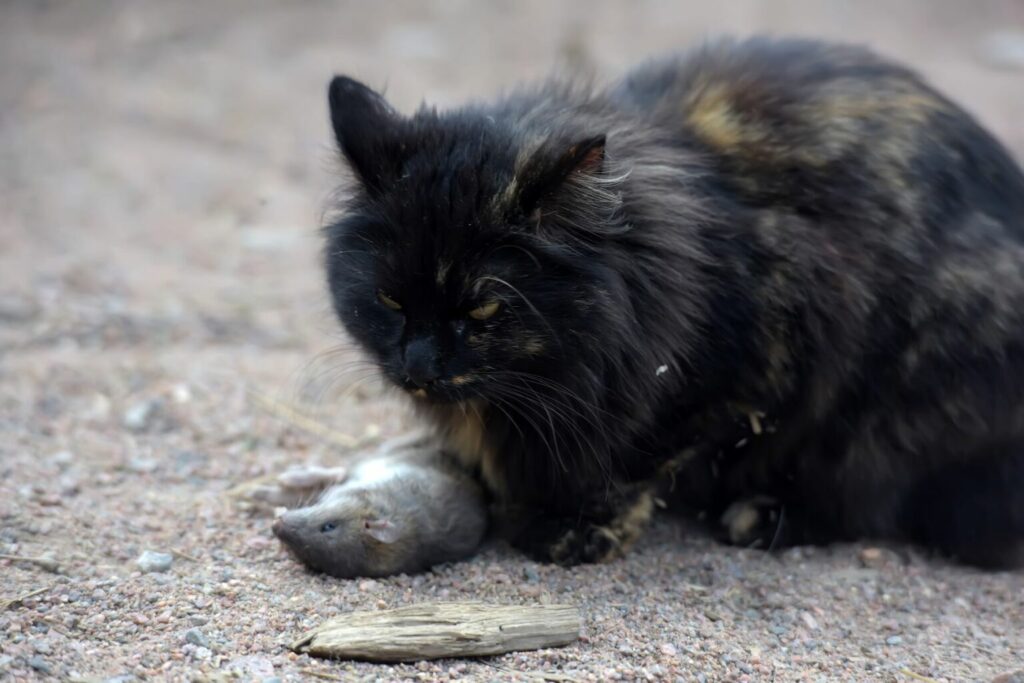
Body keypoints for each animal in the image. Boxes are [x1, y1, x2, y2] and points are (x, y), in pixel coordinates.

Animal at [323, 36, 1024, 573]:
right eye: (388, 298)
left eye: (483, 311)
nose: (417, 367)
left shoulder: (756, 353)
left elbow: (643, 451)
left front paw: (576, 525)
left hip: (901, 394)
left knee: (867, 496)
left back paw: (763, 515)